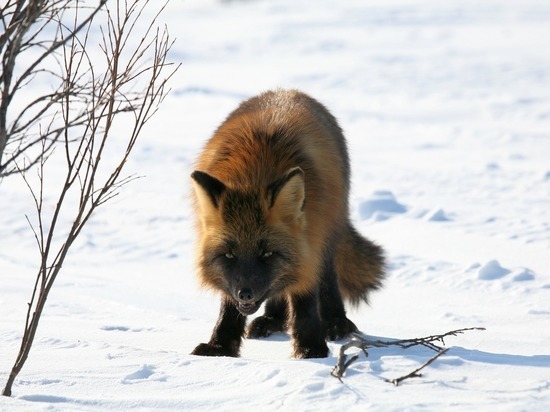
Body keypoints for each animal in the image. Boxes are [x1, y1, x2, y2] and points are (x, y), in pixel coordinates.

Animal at [192, 89, 386, 358]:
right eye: (229, 255)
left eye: (267, 254)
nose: (246, 293)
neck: (255, 173)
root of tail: (289, 91)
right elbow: (229, 305)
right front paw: (220, 347)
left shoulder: (312, 239)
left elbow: (305, 296)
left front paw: (311, 349)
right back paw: (273, 320)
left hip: (327, 235)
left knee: (325, 281)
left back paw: (335, 323)